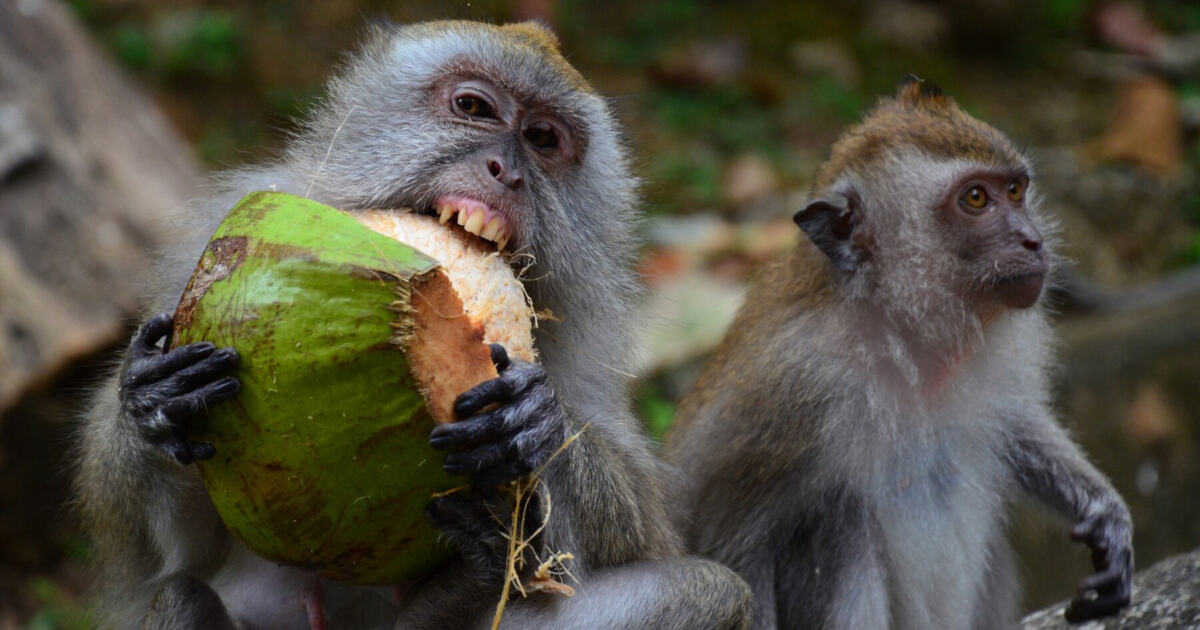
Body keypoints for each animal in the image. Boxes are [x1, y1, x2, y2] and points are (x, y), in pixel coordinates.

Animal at [667, 78, 1132, 628]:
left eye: (1016, 190)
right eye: (976, 198)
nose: (1032, 240)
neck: (900, 336)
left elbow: (1018, 426)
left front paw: (1106, 515)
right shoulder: (789, 392)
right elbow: (729, 545)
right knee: (838, 524)